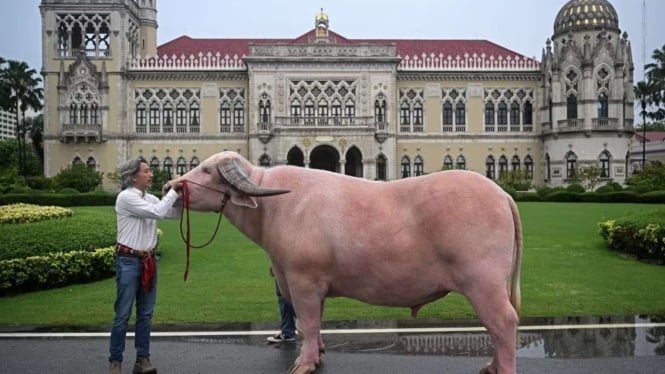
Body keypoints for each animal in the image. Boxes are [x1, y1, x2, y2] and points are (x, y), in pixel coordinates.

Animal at [176, 150, 520, 372]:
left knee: (503, 322)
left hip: (483, 282)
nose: (173, 185)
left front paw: (303, 363)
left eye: (206, 170)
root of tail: (503, 194)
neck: (273, 209)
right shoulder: (312, 285)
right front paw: (317, 354)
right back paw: (490, 366)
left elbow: (306, 322)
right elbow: (314, 324)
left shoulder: (302, 281)